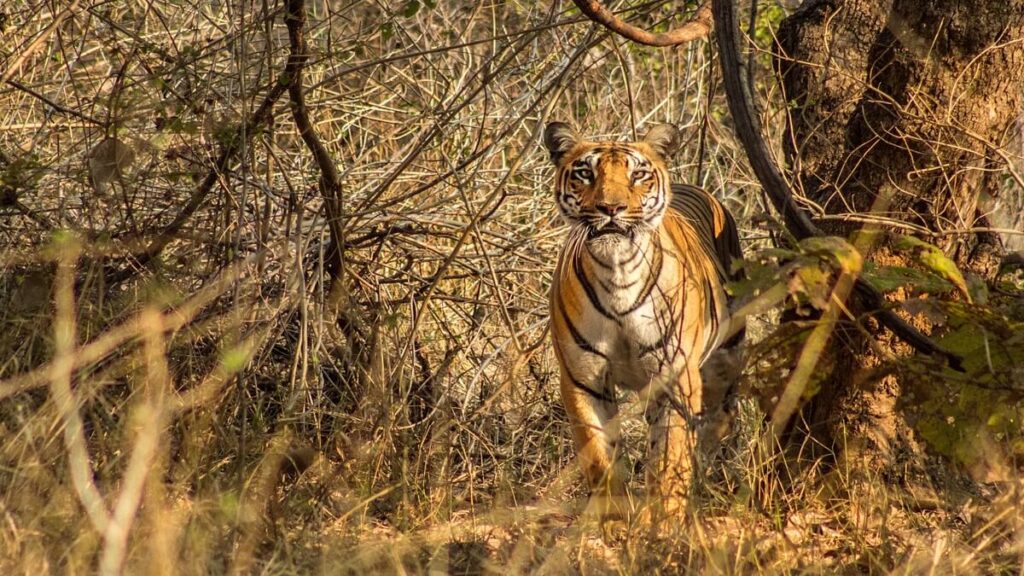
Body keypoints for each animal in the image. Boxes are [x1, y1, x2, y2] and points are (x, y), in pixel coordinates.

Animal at [543, 121, 744, 518]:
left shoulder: (676, 377)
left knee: (717, 422)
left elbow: (670, 457)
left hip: (725, 359)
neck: (616, 271)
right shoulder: (583, 380)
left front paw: (665, 522)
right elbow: (600, 458)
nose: (611, 207)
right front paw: (614, 519)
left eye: (637, 174)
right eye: (586, 173)